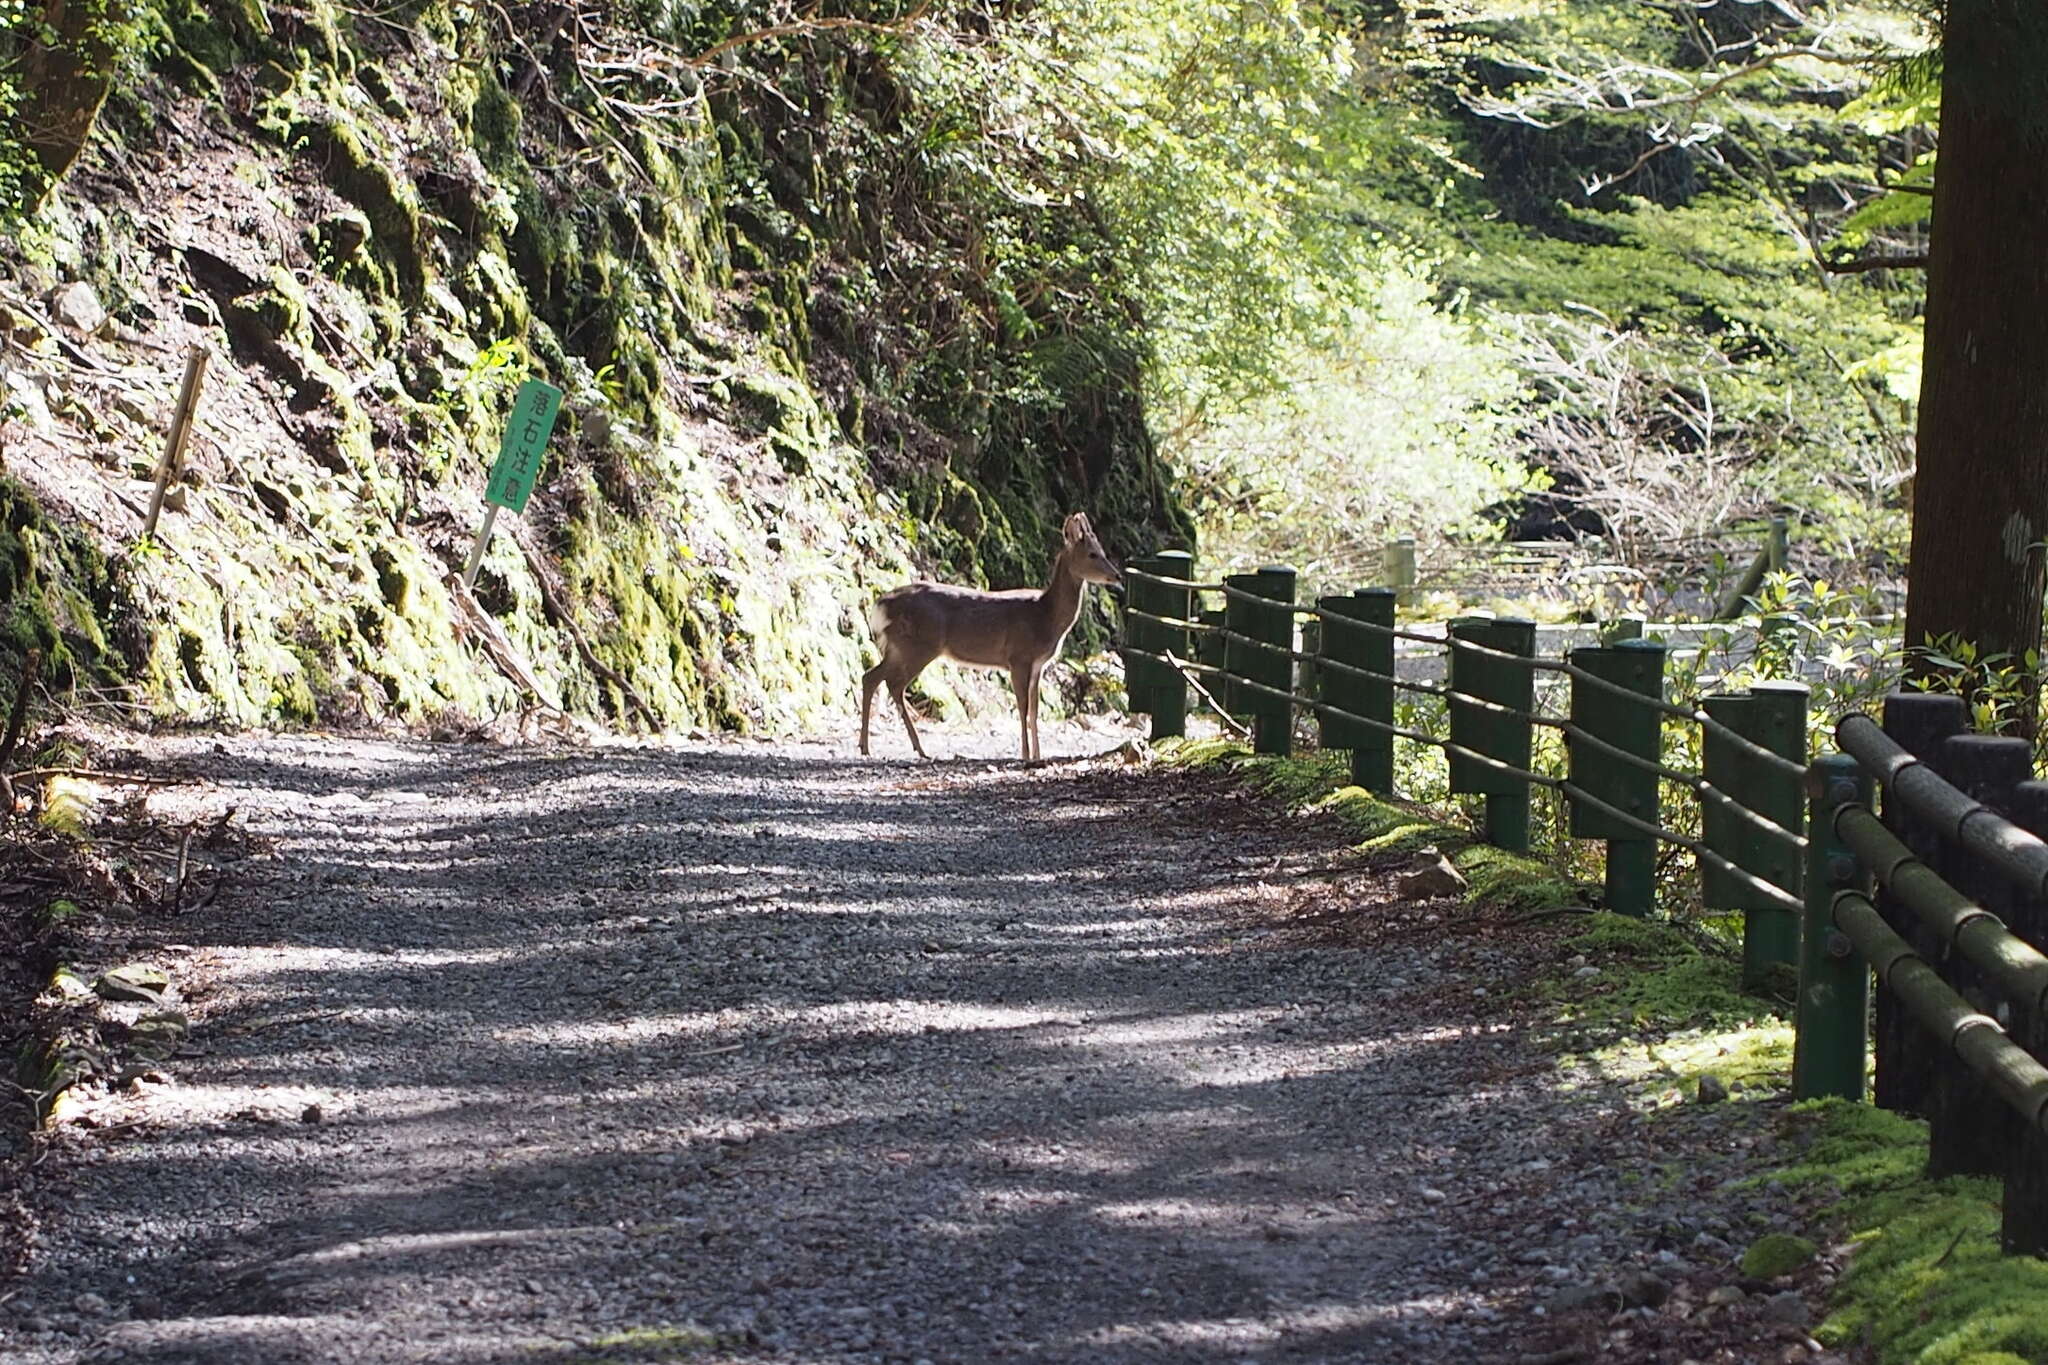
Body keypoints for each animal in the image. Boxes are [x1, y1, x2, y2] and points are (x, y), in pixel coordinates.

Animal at [860, 515, 1130, 765]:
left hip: (899, 647)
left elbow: (1034, 710)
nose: (1117, 576)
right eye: (1093, 554)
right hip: (918, 646)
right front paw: (1025, 755)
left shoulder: (1038, 665)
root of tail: (879, 606)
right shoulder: (1019, 657)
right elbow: (1023, 707)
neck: (1045, 616)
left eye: (1103, 552)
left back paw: (874, 746)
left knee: (872, 677)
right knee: (892, 683)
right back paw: (905, 748)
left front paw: (1037, 755)